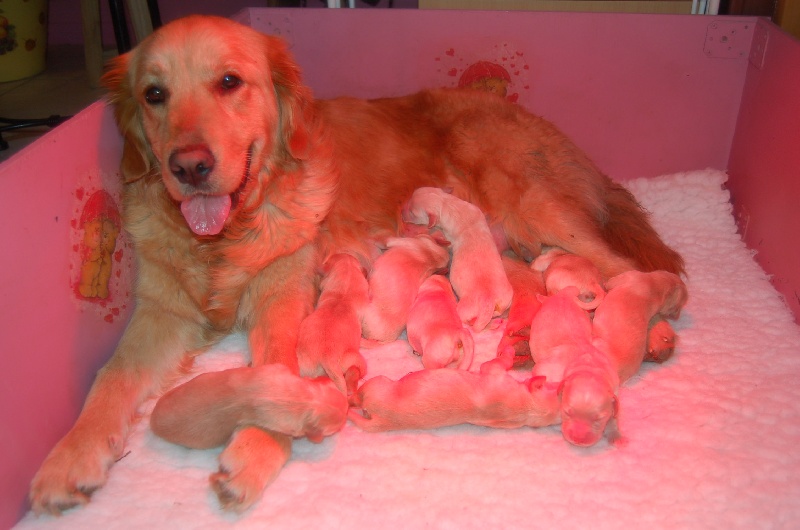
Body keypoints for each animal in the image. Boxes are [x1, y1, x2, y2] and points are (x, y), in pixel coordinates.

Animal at [406, 187, 512, 330]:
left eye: (412, 212)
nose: (402, 212)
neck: (446, 203)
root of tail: (489, 303)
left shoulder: (447, 235)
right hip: (507, 298)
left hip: (464, 310)